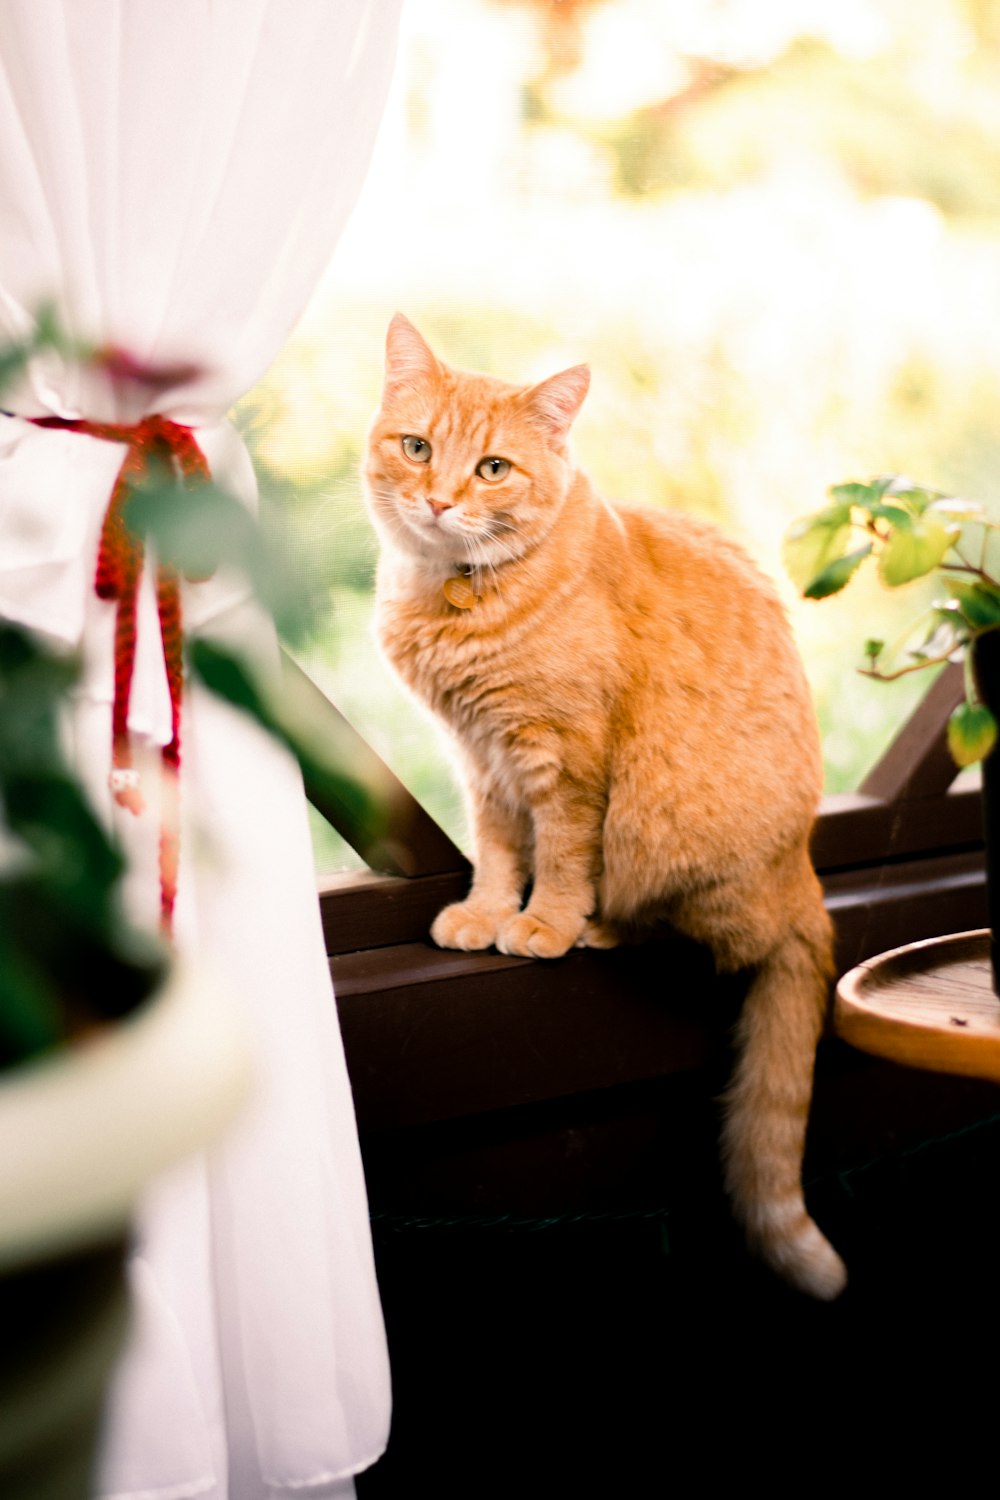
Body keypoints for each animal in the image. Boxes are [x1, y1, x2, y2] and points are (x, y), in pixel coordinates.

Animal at [364, 316, 851, 1302]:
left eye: (493, 468)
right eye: (417, 447)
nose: (437, 500)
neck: (455, 592)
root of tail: (806, 880)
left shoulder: (565, 764)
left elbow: (557, 858)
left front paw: (543, 923)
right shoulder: (482, 763)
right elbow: (497, 851)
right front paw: (484, 912)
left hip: (664, 840)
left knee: (683, 927)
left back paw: (598, 928)